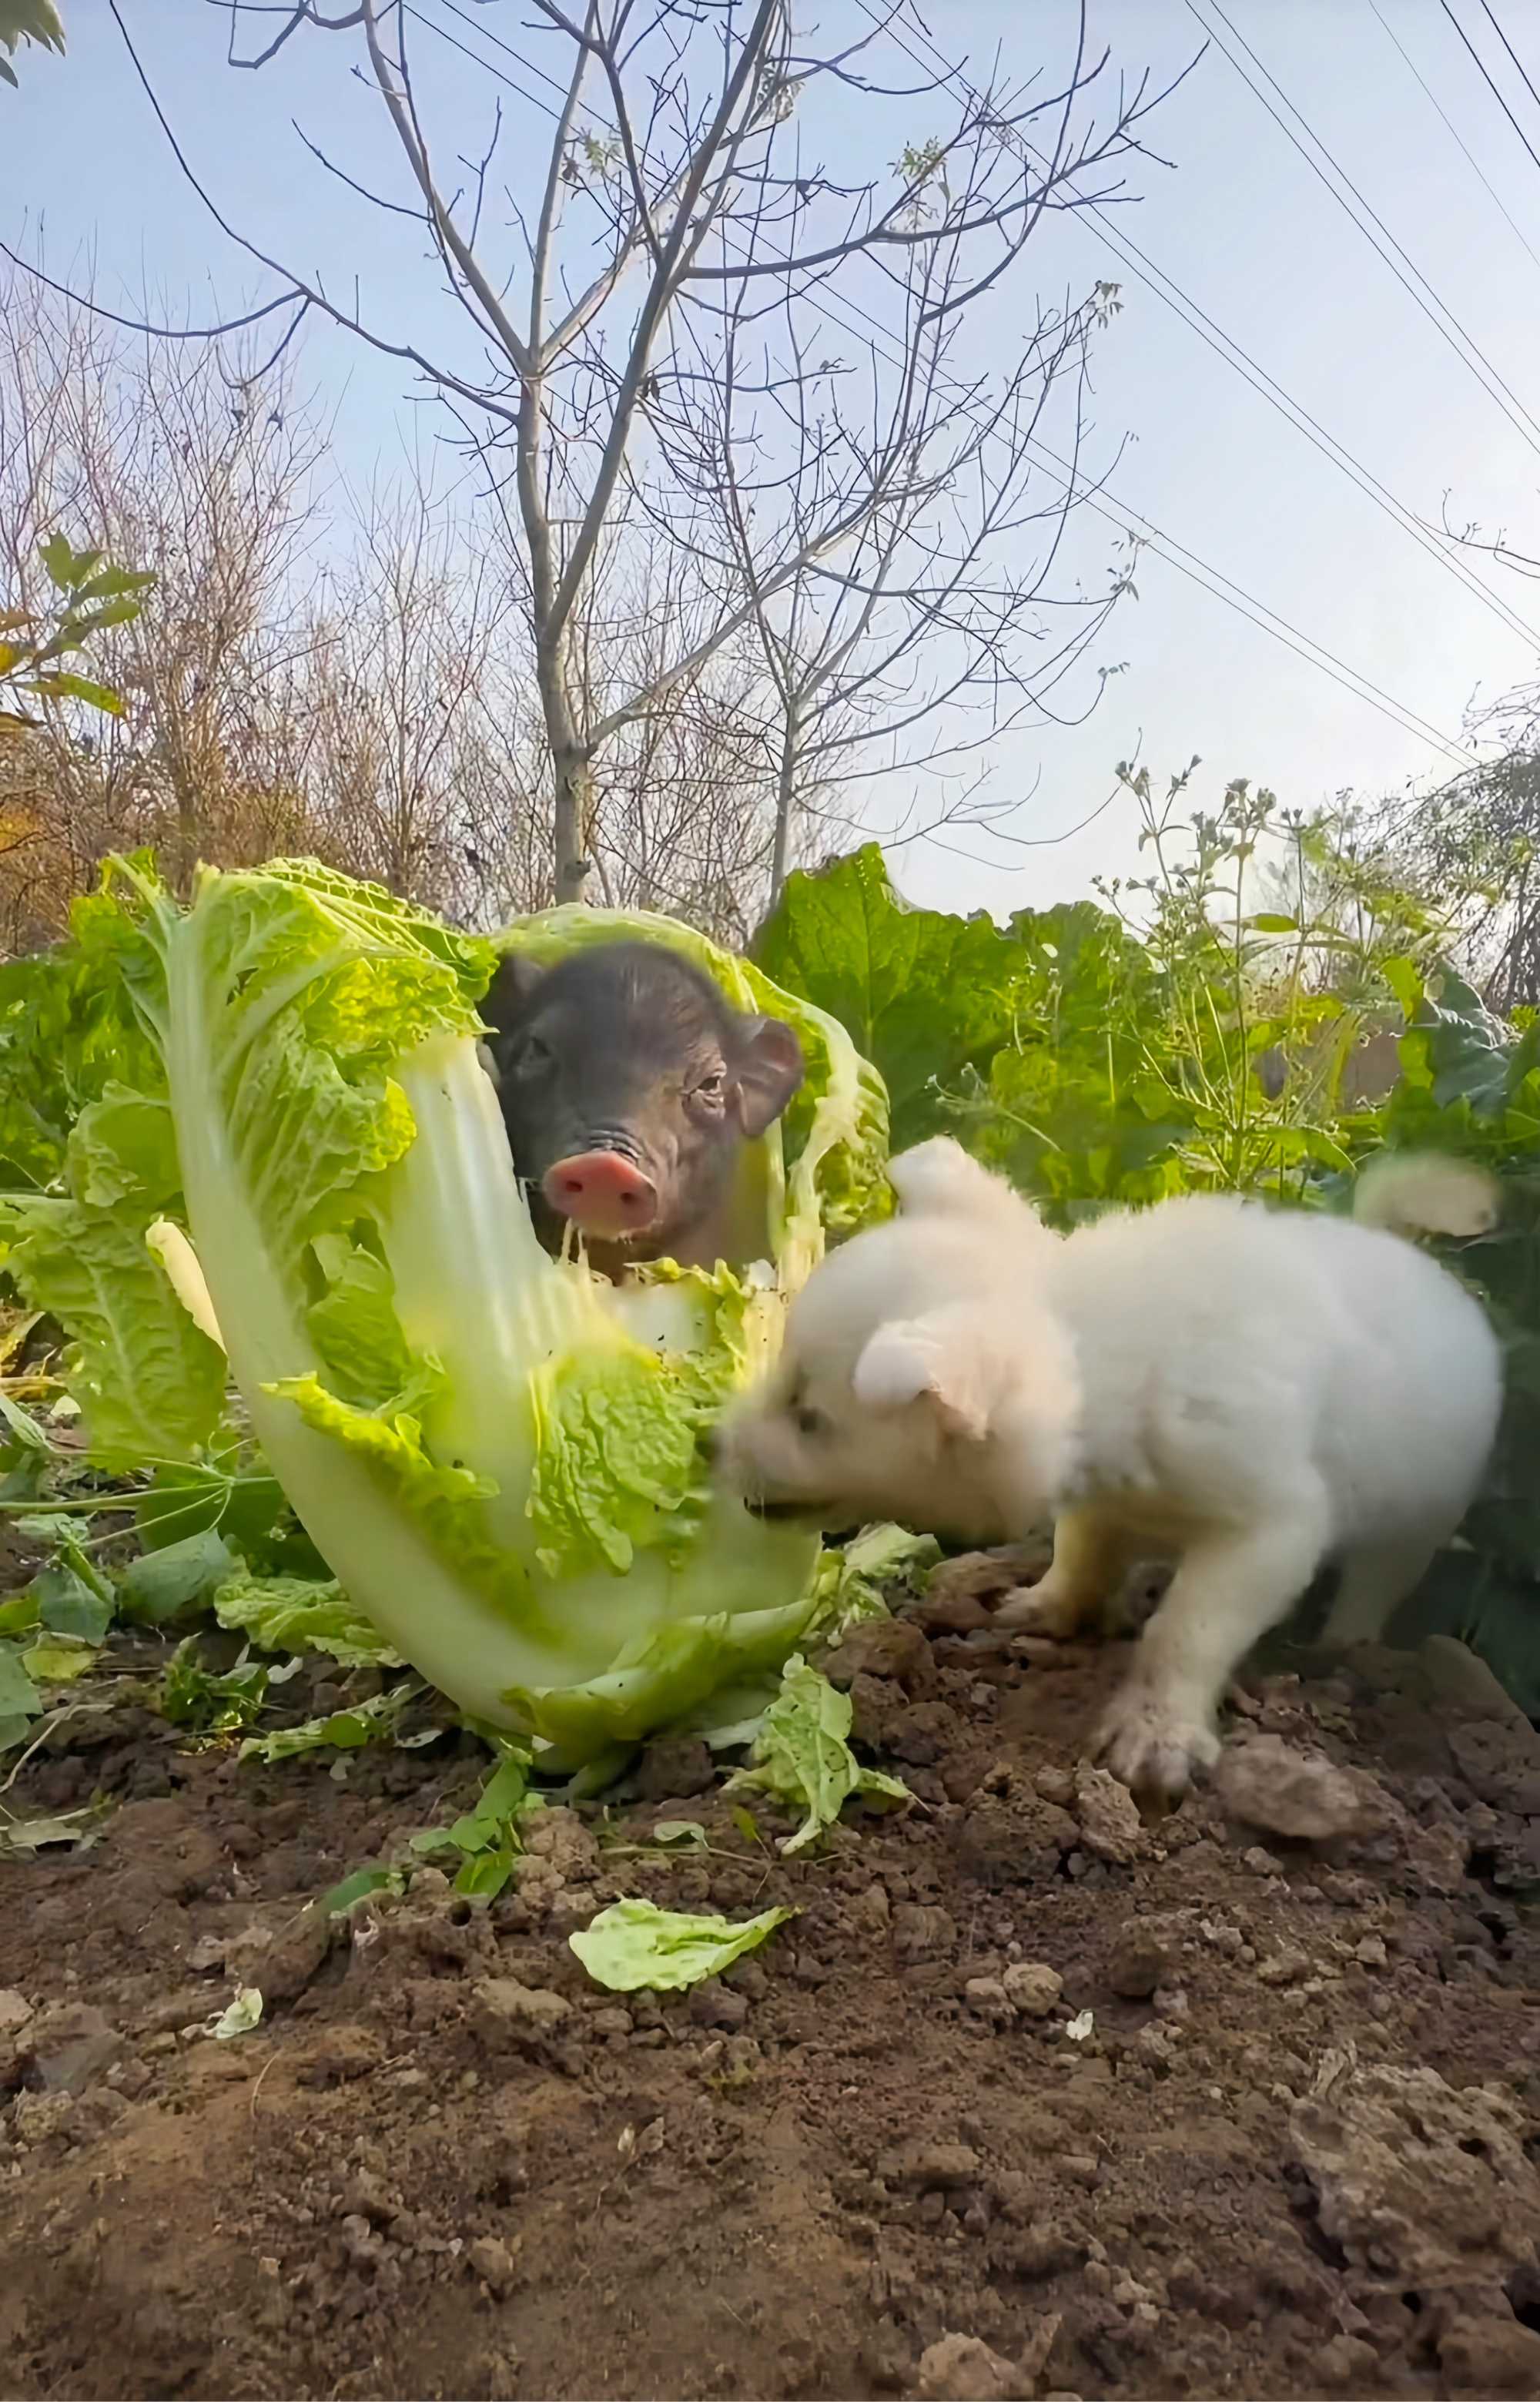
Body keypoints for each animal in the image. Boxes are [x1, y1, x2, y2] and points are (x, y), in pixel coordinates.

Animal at [725, 1134, 1498, 1797]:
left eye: (809, 1418)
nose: (711, 1447)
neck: (1109, 1352)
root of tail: (1414, 1256)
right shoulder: (1100, 1498)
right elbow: (1083, 1551)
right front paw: (1051, 1607)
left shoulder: (1270, 1529)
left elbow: (1184, 1630)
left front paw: (1157, 1735)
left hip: (1419, 1516)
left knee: (1376, 1583)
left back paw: (1349, 1649)